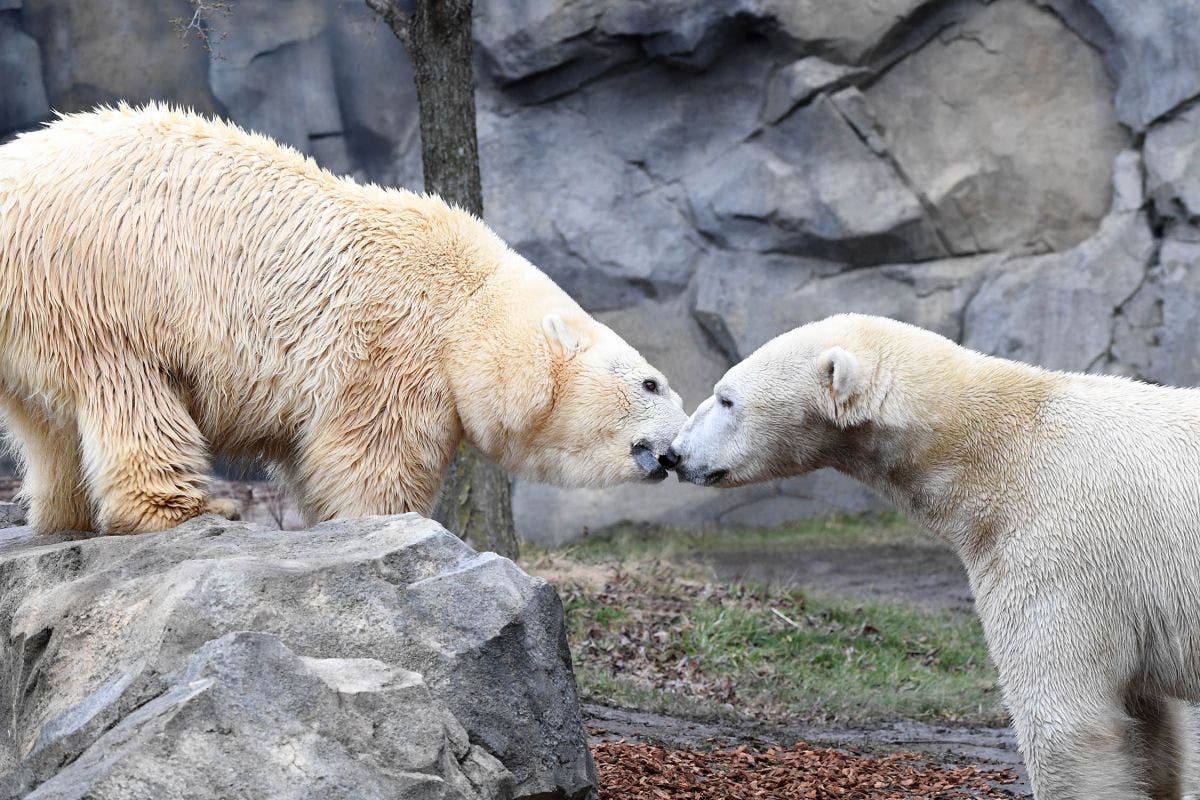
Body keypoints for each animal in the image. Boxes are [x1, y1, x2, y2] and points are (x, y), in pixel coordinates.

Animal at [0, 104, 691, 532]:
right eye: (652, 382)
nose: (678, 450)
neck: (469, 300)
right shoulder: (394, 343)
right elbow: (371, 455)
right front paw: (388, 524)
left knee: (45, 424)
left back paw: (62, 515)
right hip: (98, 283)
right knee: (130, 390)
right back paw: (184, 510)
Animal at [676, 311, 1200, 800]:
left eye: (726, 398)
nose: (674, 454)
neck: (993, 448)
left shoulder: (1061, 551)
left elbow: (1066, 723)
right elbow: (1150, 725)